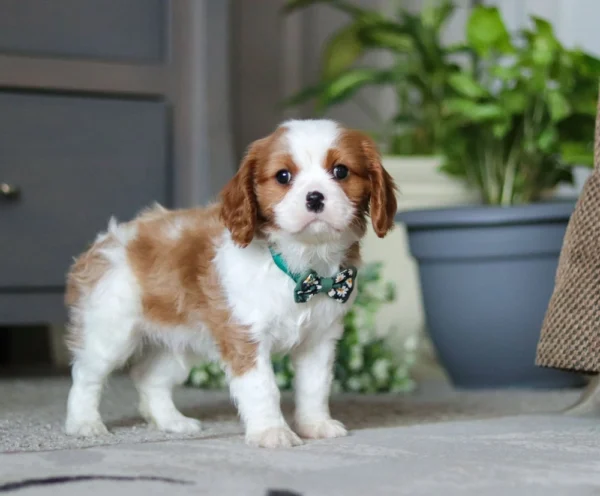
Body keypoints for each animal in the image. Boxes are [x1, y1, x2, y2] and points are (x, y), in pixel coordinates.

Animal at [63, 118, 396, 448]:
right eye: (283, 176)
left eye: (341, 171)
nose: (314, 197)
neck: (301, 267)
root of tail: (106, 240)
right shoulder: (245, 337)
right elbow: (264, 388)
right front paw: (271, 432)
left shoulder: (319, 338)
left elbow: (315, 385)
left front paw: (315, 425)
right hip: (111, 331)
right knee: (86, 375)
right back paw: (84, 423)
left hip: (181, 340)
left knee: (150, 378)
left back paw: (172, 422)